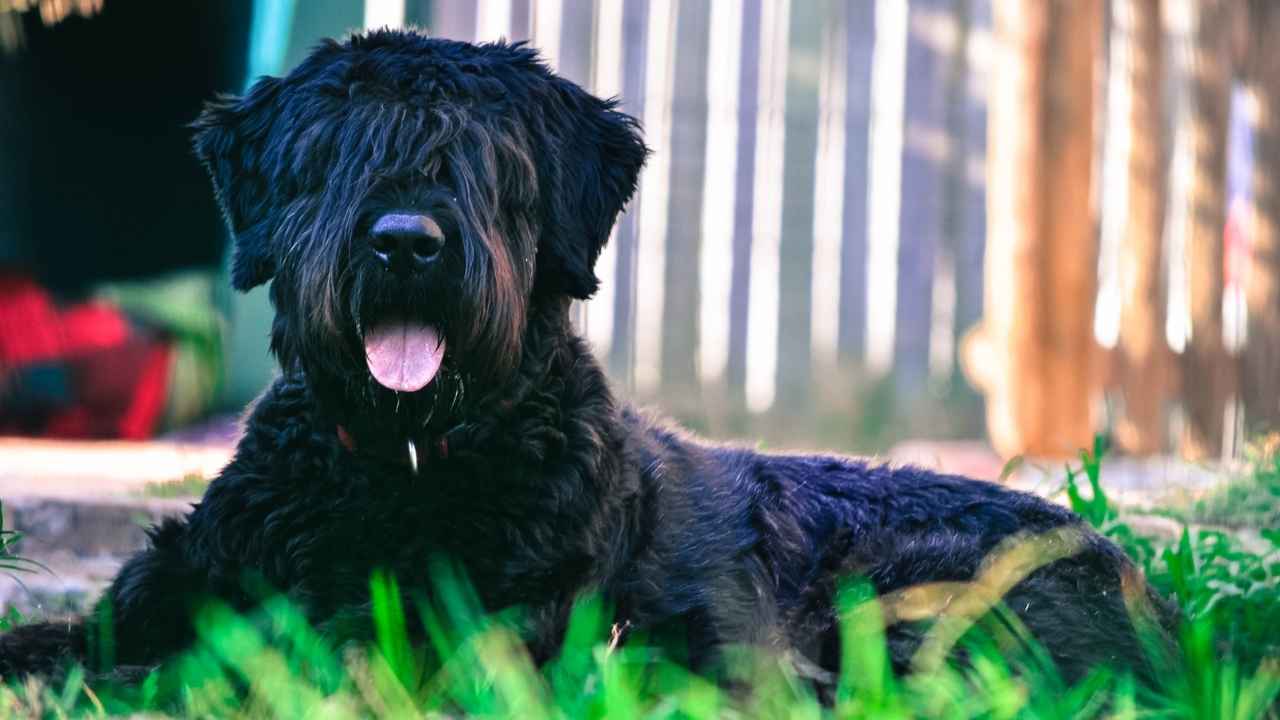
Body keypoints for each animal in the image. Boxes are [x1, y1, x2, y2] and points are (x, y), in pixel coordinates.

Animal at [0, 30, 1172, 686]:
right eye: (334, 152)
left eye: (482, 159)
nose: (406, 243)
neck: (392, 464)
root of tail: (1141, 584)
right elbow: (83, 638)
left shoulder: (443, 634)